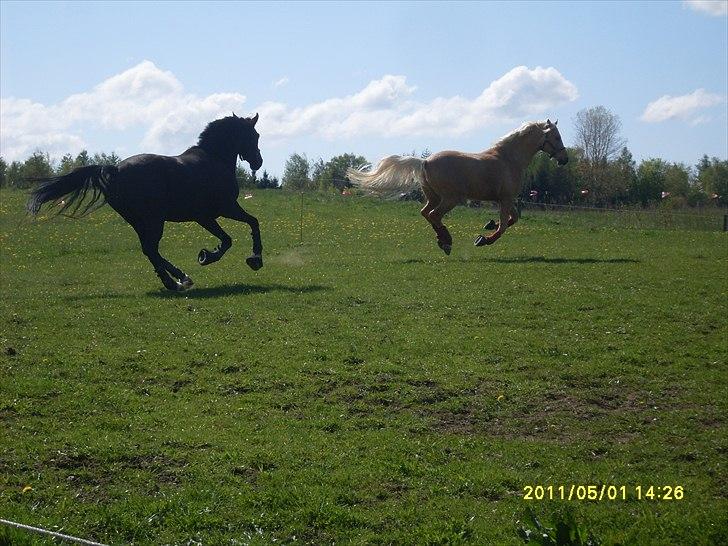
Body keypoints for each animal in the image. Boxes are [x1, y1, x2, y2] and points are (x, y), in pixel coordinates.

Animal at [27, 113, 264, 292]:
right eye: (254, 135)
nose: (258, 162)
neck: (214, 160)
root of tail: (114, 170)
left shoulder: (208, 215)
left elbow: (239, 231)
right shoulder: (220, 210)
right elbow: (241, 231)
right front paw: (248, 258)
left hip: (140, 222)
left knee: (150, 250)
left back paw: (177, 280)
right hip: (153, 220)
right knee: (151, 249)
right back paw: (178, 281)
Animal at [346, 118, 568, 253]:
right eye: (556, 137)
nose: (564, 159)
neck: (509, 159)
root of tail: (424, 162)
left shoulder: (506, 199)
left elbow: (513, 220)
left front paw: (489, 225)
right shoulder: (505, 199)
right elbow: (504, 225)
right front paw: (483, 239)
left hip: (434, 197)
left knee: (426, 213)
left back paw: (442, 240)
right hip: (451, 199)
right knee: (434, 215)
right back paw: (447, 242)